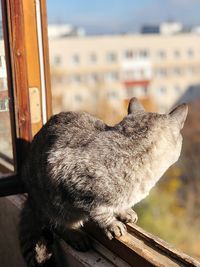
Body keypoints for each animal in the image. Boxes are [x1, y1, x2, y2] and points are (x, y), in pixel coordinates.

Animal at [18, 98, 188, 266]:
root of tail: (30, 198)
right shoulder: (64, 172)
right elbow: (98, 210)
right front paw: (111, 224)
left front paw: (123, 211)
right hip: (50, 200)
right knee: (58, 222)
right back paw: (75, 235)